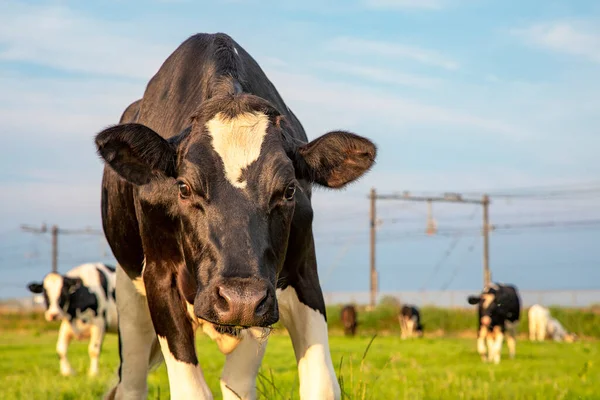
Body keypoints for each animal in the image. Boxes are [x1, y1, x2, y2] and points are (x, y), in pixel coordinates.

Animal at [94, 32, 376, 400]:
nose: (241, 299)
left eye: (289, 190)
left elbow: (319, 384)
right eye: (183, 187)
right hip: (129, 293)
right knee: (131, 382)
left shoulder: (300, 274)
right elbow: (192, 391)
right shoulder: (159, 273)